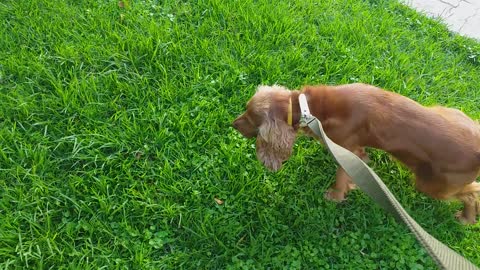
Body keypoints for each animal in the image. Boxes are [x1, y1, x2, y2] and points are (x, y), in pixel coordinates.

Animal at [232, 83, 480, 225]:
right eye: (245, 110)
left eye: (250, 118)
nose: (232, 124)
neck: (309, 107)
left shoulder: (348, 147)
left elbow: (342, 175)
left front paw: (335, 196)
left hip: (434, 184)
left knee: (472, 192)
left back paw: (467, 218)